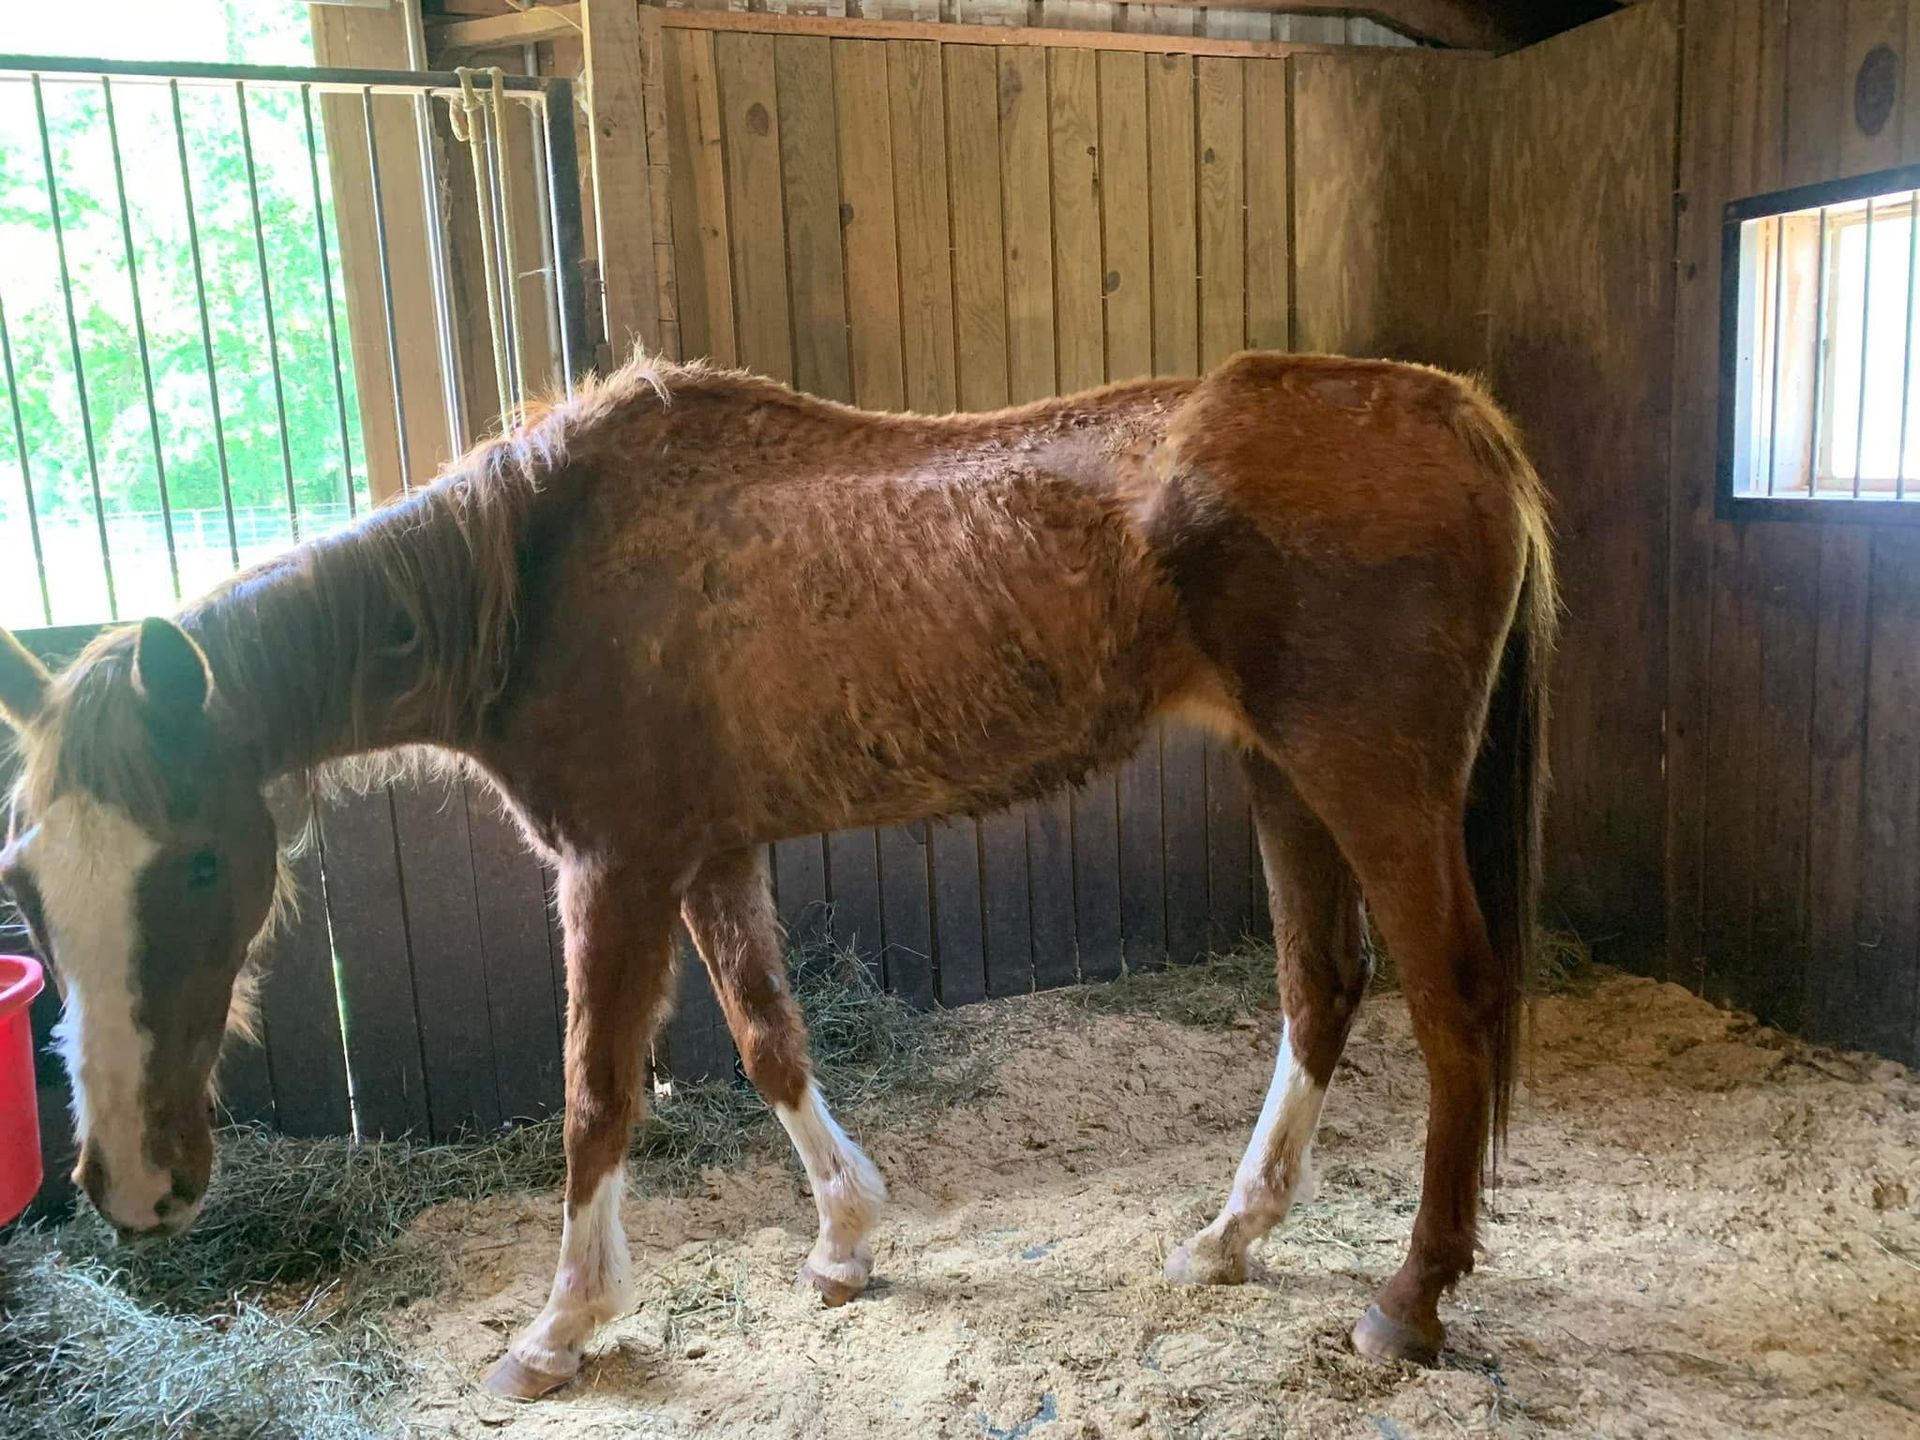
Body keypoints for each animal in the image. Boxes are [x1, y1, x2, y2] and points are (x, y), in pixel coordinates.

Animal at [0, 349, 1554, 1395]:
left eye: (202, 863)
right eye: (25, 881)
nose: (128, 1184)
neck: (539, 577)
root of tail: (1459, 414)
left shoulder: (614, 868)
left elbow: (595, 1095)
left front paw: (558, 1329)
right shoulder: (708, 851)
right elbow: (768, 1041)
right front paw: (845, 1241)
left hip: (1373, 788)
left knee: (1452, 1007)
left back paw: (1409, 1299)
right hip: (1282, 780)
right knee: (1319, 988)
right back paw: (1229, 1238)